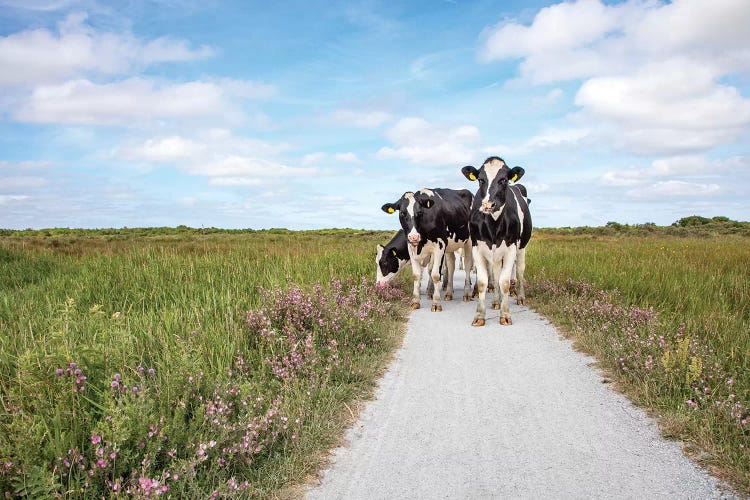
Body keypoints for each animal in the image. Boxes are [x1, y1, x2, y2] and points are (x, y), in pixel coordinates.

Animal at [462, 157, 532, 328]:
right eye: (481, 180)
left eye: (504, 180)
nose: (488, 205)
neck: (493, 225)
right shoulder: (477, 248)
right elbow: (483, 282)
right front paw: (479, 316)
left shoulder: (511, 248)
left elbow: (505, 282)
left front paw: (505, 315)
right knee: (495, 274)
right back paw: (496, 301)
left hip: (521, 248)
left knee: (519, 272)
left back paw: (520, 297)